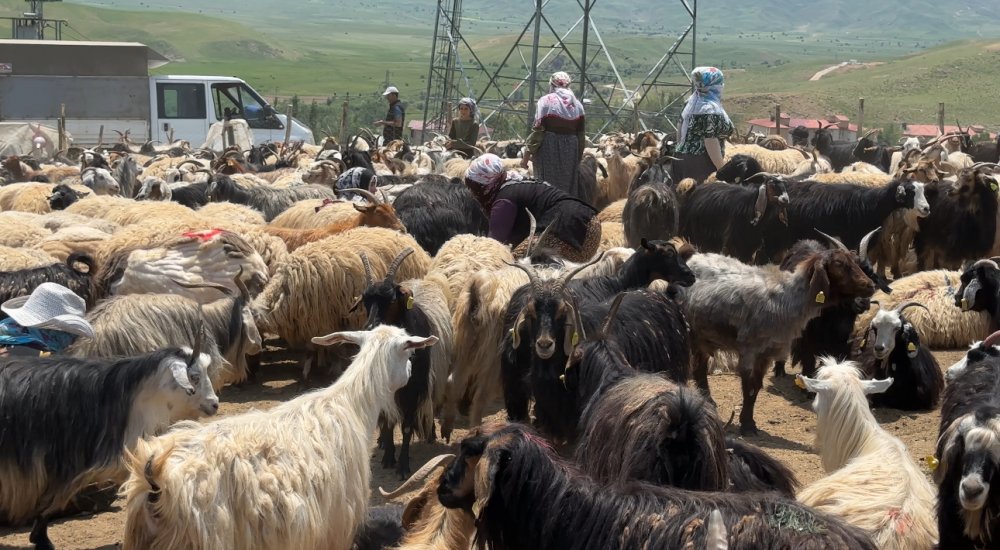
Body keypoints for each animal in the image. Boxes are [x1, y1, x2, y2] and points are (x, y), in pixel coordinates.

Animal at [682, 248, 875, 434]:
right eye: (838, 264)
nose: (870, 285)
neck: (787, 299)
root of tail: (694, 257)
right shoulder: (749, 349)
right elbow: (749, 387)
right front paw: (747, 426)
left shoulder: (766, 353)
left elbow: (756, 388)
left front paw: (749, 421)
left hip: (703, 336)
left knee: (700, 368)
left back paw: (708, 401)